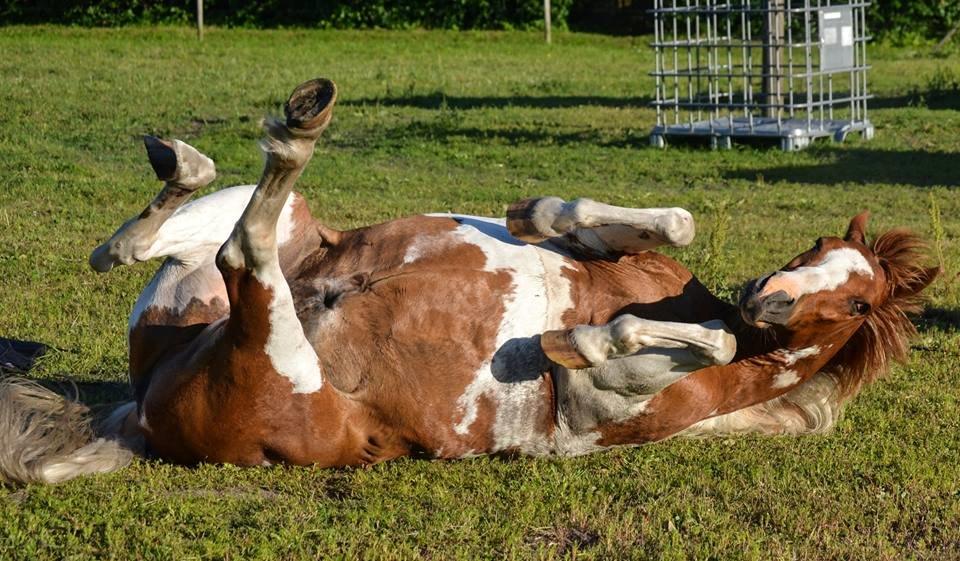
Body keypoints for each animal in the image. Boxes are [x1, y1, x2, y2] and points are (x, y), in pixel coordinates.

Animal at [0, 76, 932, 484]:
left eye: (858, 300)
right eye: (817, 241)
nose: (766, 297)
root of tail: (140, 410)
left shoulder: (605, 405)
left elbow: (680, 346)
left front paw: (593, 333)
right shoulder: (649, 258)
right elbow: (671, 221)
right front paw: (538, 215)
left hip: (271, 348)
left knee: (240, 250)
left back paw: (297, 126)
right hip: (263, 251)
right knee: (135, 244)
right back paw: (202, 154)